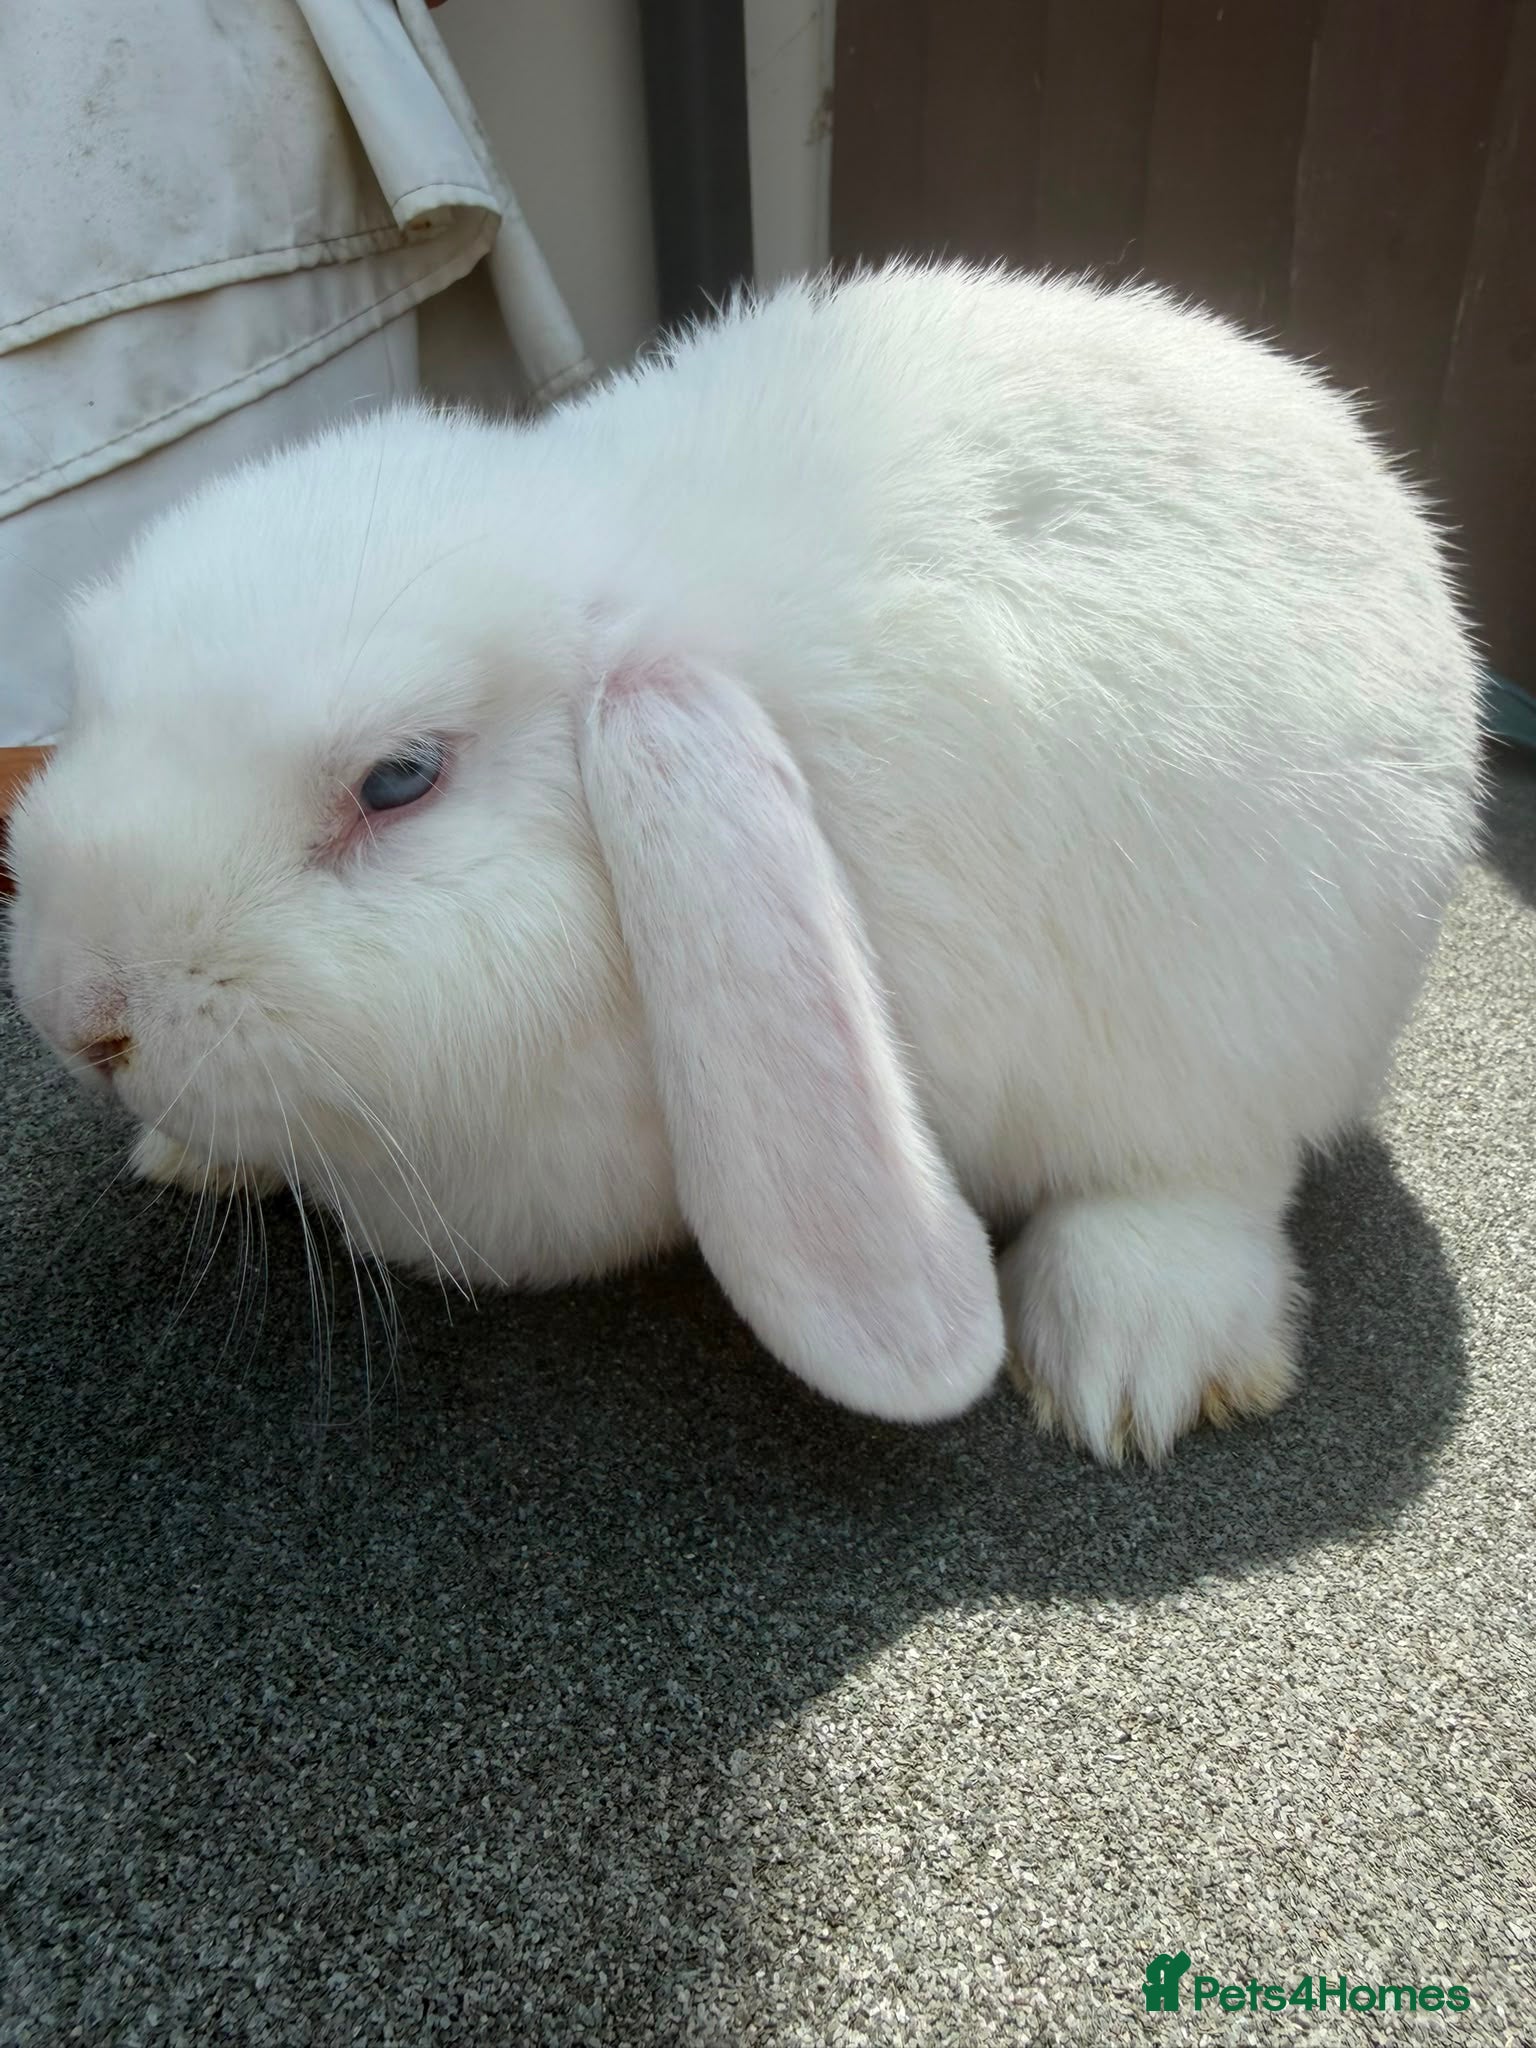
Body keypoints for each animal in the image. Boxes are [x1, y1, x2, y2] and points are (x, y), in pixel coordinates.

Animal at [7, 260, 1482, 1463]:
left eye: (399, 780)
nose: (81, 1019)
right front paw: (185, 1154)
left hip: (1250, 1014)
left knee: (1213, 1169)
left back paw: (1127, 1363)